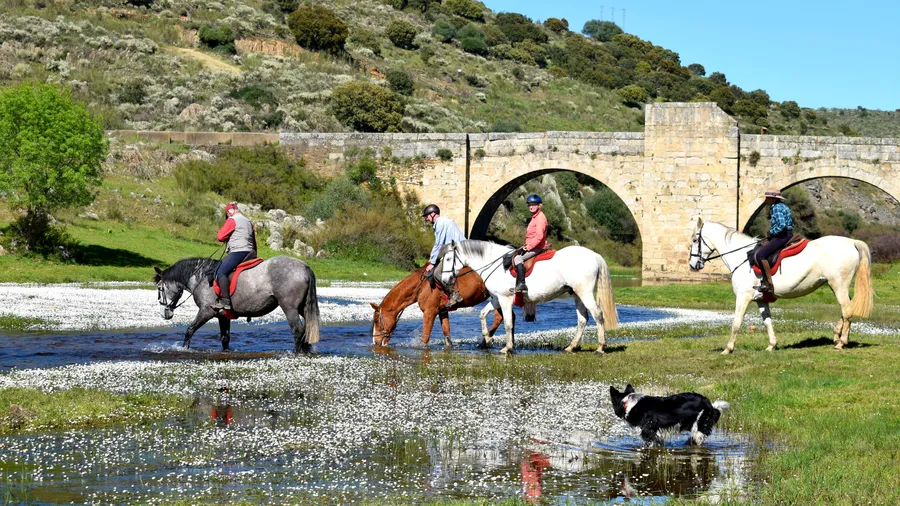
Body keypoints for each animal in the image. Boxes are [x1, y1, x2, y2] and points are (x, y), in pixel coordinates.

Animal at [153, 256, 321, 353]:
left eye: (160, 288)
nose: (164, 313)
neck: (202, 278)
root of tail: (304, 267)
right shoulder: (222, 316)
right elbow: (225, 338)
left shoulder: (206, 311)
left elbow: (190, 330)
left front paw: (184, 349)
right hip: (302, 308)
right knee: (306, 329)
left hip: (290, 308)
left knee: (298, 330)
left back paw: (296, 352)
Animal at [370, 266, 504, 347]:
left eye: (376, 320)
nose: (375, 342)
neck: (422, 286)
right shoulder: (442, 311)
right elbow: (446, 332)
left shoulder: (429, 312)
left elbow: (425, 337)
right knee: (500, 317)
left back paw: (486, 340)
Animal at [436, 240, 618, 354]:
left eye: (448, 258)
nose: (445, 280)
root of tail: (594, 255)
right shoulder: (496, 299)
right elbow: (482, 314)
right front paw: (487, 338)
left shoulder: (505, 299)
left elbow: (508, 323)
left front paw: (508, 347)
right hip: (577, 295)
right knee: (583, 319)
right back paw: (571, 347)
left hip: (584, 292)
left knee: (597, 315)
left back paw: (600, 347)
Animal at [688, 217, 874, 354]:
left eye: (695, 239)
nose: (693, 265)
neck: (741, 257)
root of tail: (852, 242)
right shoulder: (761, 299)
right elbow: (767, 321)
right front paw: (772, 345)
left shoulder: (743, 297)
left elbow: (736, 323)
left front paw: (728, 349)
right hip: (835, 285)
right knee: (847, 309)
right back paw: (837, 336)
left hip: (838, 285)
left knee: (847, 310)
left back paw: (841, 342)